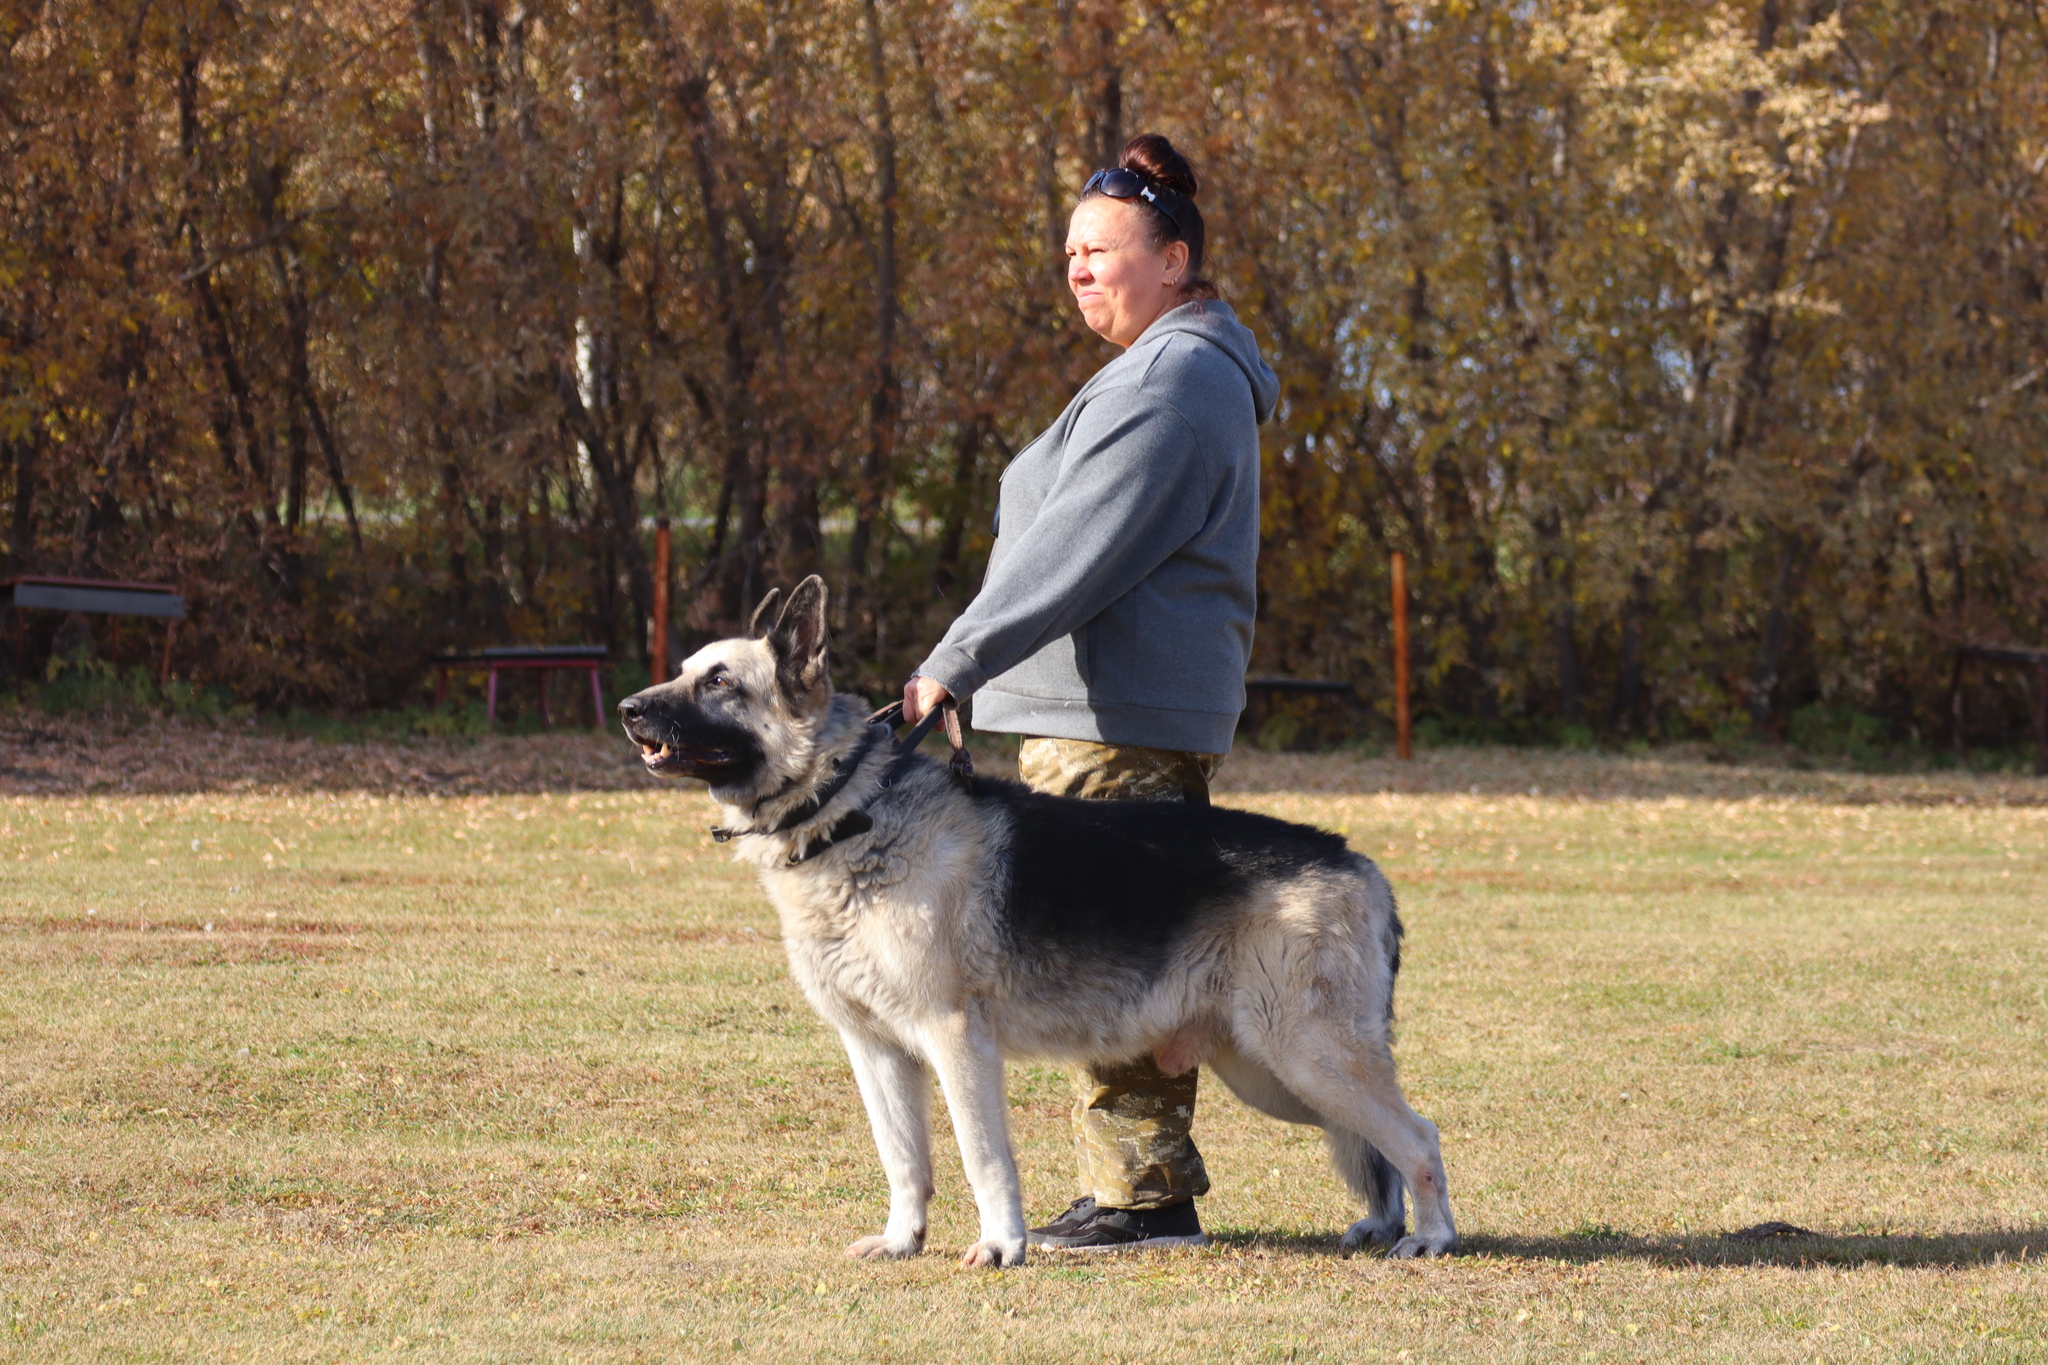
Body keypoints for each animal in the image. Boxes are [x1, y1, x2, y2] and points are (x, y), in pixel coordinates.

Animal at [618, 581, 1458, 1268]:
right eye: (686, 670)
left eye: (719, 681)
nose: (628, 710)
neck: (850, 810)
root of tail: (1360, 861)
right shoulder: (876, 1051)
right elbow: (904, 1159)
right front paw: (902, 1240)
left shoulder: (957, 1042)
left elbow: (982, 1156)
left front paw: (1001, 1245)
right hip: (1274, 1073)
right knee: (1377, 1142)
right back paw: (1384, 1223)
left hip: (1305, 1057)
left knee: (1419, 1135)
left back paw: (1432, 1235)